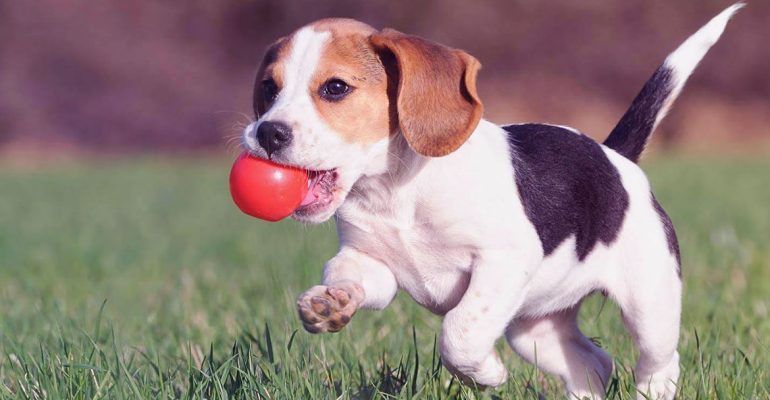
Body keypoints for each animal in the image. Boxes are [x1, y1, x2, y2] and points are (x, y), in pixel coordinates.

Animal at [238, 3, 736, 400]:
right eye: (268, 88)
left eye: (336, 88)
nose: (267, 133)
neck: (395, 191)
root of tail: (615, 156)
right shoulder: (371, 263)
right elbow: (348, 276)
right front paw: (330, 303)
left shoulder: (503, 261)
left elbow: (459, 332)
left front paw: (486, 375)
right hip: (534, 328)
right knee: (593, 365)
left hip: (650, 305)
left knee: (657, 363)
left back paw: (653, 388)